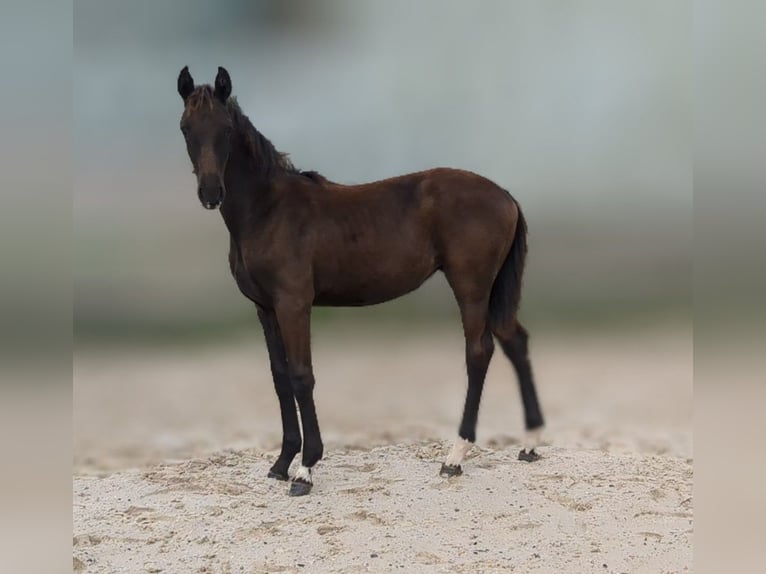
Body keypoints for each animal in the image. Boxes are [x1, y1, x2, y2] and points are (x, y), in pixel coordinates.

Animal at [176, 66, 544, 500]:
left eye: (227, 129)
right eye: (186, 127)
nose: (210, 192)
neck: (268, 210)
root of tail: (506, 195)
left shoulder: (293, 303)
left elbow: (302, 376)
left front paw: (305, 470)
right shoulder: (265, 308)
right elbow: (280, 378)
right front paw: (282, 463)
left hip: (471, 287)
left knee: (479, 351)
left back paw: (454, 457)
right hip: (495, 290)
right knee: (514, 341)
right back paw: (529, 445)